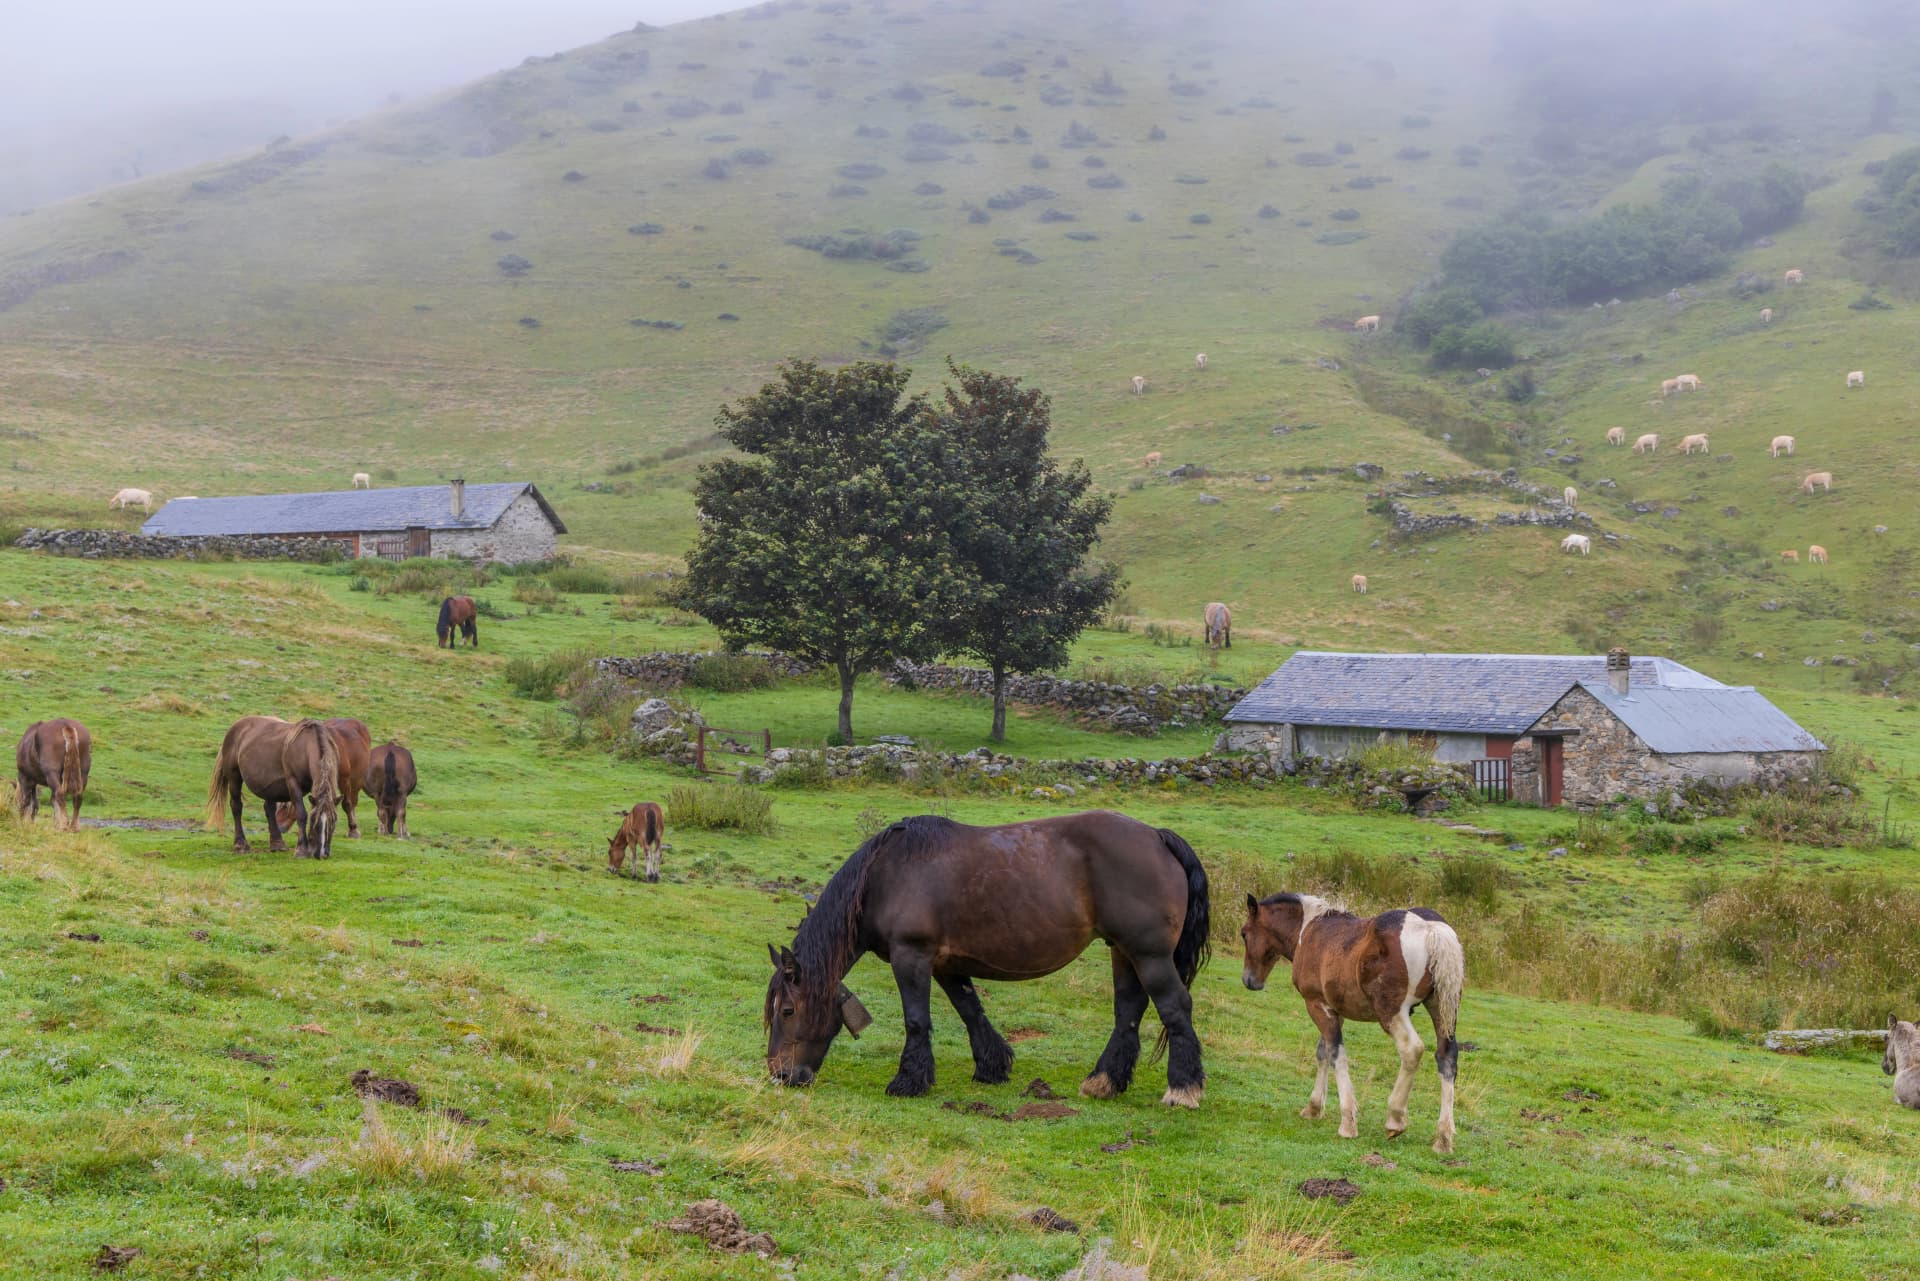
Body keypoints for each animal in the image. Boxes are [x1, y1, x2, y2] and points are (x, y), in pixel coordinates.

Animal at [205, 716, 341, 858]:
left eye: (333, 821)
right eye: (314, 820)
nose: (322, 853)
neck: (305, 747)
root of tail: (236, 726)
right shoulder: (293, 783)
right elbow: (301, 814)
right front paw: (302, 849)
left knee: (269, 809)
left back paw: (277, 844)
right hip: (234, 777)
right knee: (236, 806)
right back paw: (240, 844)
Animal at [764, 812, 1210, 1107]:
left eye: (788, 1010)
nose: (781, 1075)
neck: (885, 875)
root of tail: (1157, 837)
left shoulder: (912, 956)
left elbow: (917, 1019)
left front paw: (908, 1081)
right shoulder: (947, 965)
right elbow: (970, 1011)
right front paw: (992, 1068)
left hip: (1149, 954)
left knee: (1175, 1006)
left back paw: (1182, 1089)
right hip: (1123, 951)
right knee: (1128, 1012)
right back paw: (1104, 1082)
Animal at [1241, 893, 1464, 1154]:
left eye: (1244, 933)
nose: (1249, 980)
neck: (1308, 930)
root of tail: (1431, 929)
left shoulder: (1316, 1004)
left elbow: (1337, 1054)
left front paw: (1347, 1121)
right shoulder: (1334, 1010)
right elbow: (1324, 1052)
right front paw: (1314, 1108)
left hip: (1392, 1012)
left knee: (1412, 1050)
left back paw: (1395, 1118)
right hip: (1442, 1010)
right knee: (1447, 1057)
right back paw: (1443, 1138)